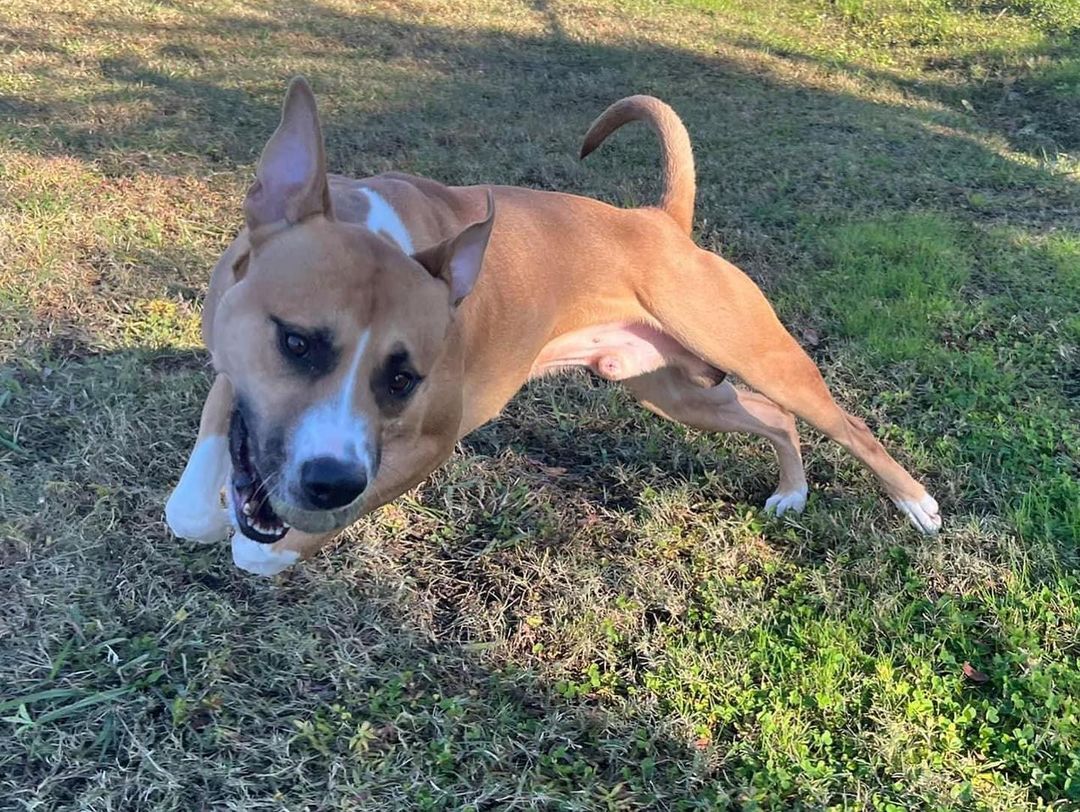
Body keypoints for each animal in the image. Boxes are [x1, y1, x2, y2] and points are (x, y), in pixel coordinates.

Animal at [164, 72, 941, 574]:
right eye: (294, 342)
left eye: (404, 379)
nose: (329, 481)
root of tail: (661, 222)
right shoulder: (235, 368)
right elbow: (198, 498)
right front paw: (214, 508)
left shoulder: (426, 446)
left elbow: (262, 545)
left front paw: (266, 544)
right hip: (679, 393)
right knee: (772, 418)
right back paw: (792, 491)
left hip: (759, 356)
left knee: (848, 424)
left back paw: (917, 504)